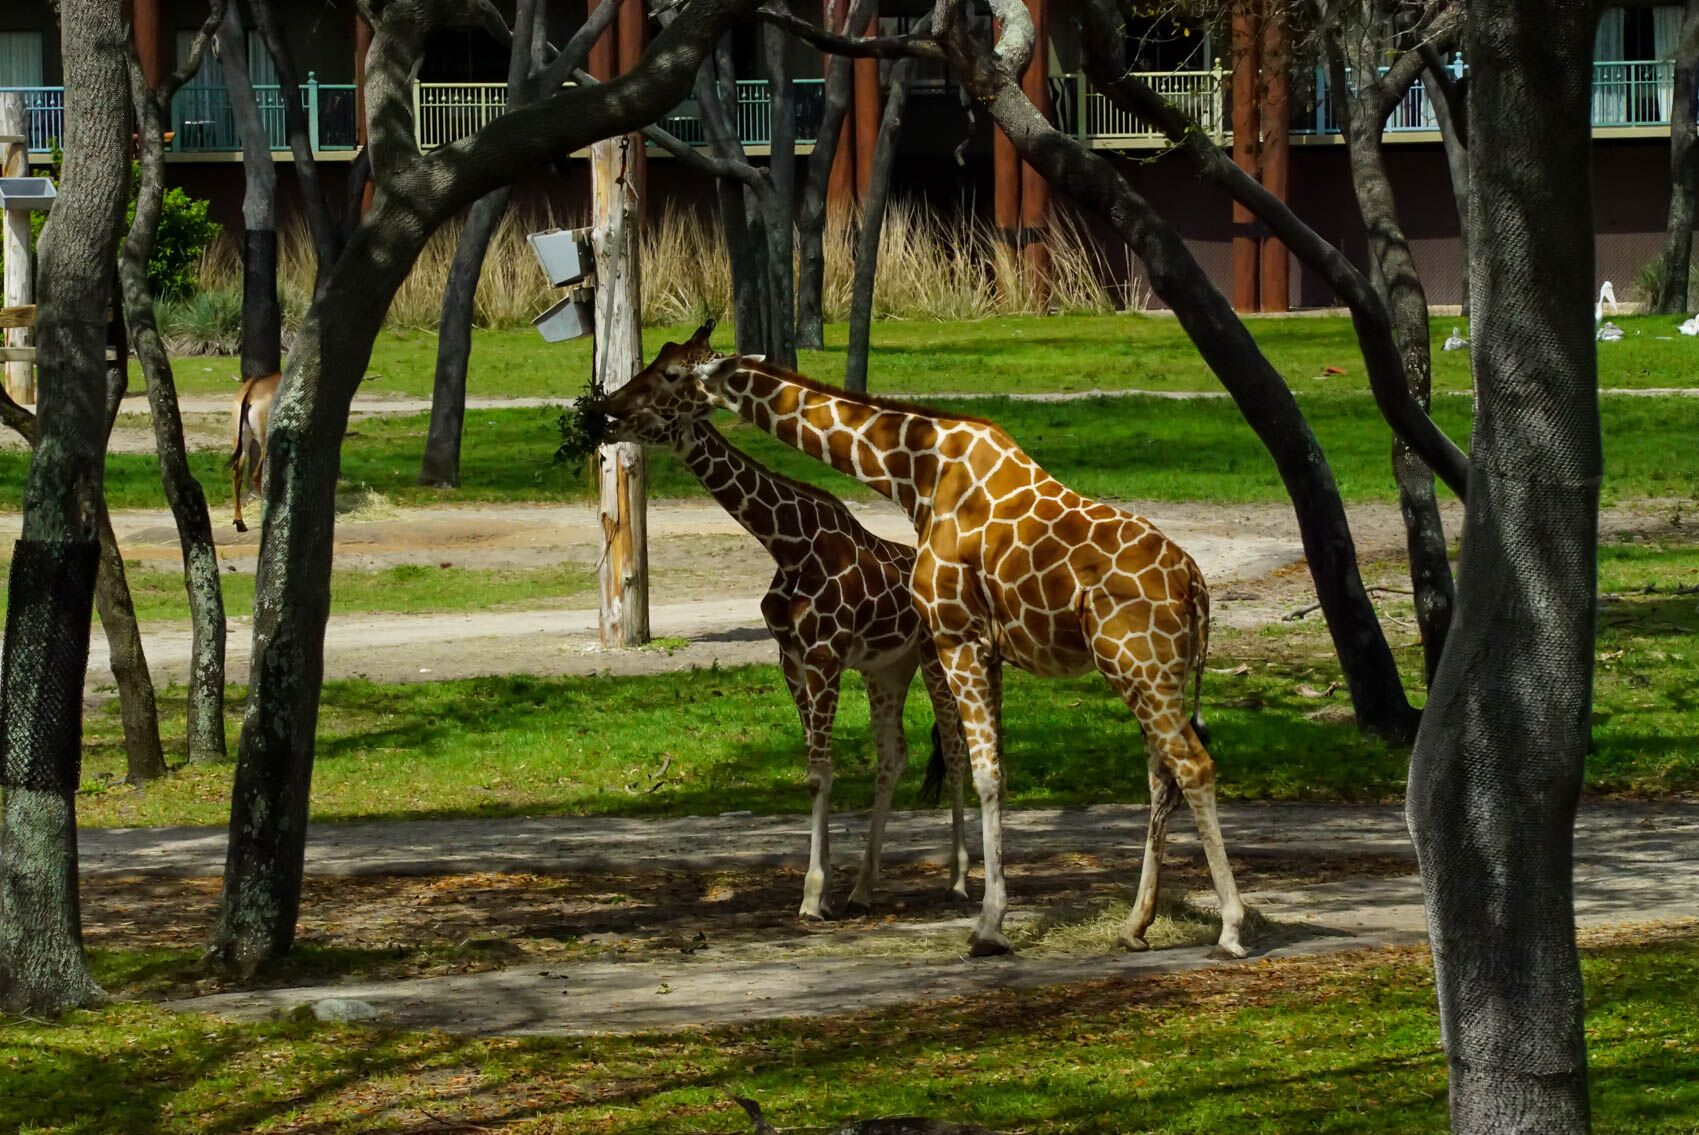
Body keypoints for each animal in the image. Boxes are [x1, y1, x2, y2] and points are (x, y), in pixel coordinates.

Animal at [227, 372, 280, 533]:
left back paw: (240, 522)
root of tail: (250, 391)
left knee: (236, 473)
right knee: (257, 475)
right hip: (264, 443)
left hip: (242, 444)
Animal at [604, 321, 971, 924]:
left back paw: (960, 880)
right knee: (893, 756)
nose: (609, 407)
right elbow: (813, 768)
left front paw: (813, 894)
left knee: (957, 747)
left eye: (672, 375)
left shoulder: (824, 656)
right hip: (887, 669)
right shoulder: (792, 659)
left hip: (935, 660)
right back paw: (865, 888)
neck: (789, 546)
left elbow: (822, 771)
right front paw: (829, 886)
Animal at [676, 351, 1250, 958]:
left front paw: (987, 926)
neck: (916, 473)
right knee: (1162, 777)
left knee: (1193, 766)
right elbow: (997, 770)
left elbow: (983, 775)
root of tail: (1196, 583)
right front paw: (990, 914)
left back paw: (1231, 927)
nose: (639, 412)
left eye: (673, 379)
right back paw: (1136, 925)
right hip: (1153, 674)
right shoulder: (988, 649)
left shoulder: (956, 637)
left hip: (1139, 666)